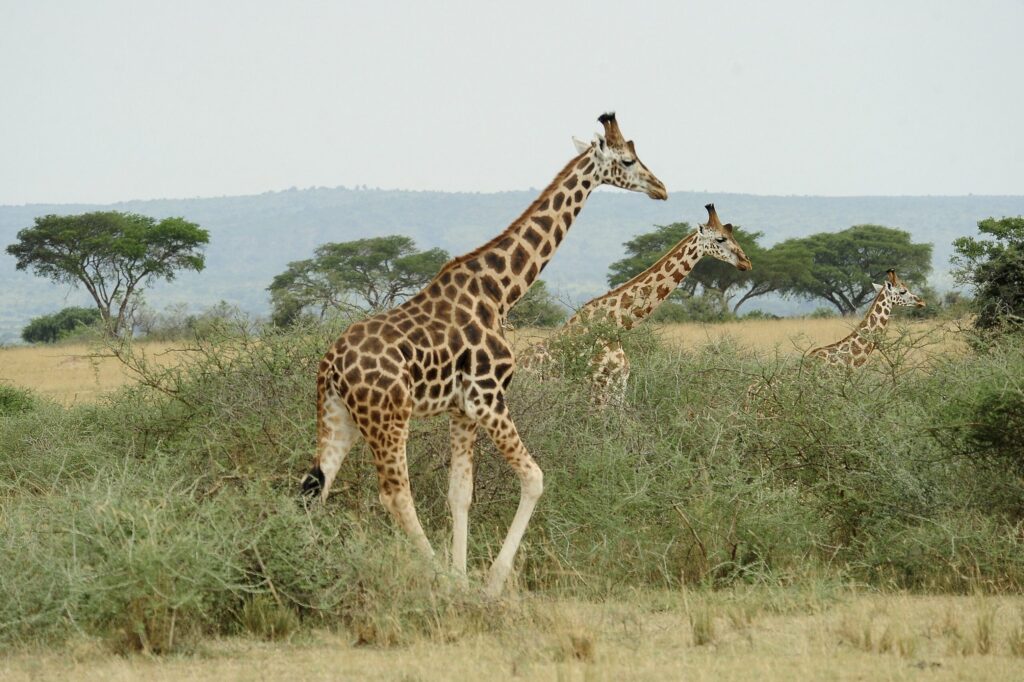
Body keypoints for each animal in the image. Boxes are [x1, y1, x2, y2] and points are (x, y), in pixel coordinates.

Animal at [301, 113, 667, 597]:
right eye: (627, 160)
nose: (661, 188)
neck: (501, 290)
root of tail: (331, 366)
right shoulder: (488, 396)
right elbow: (534, 478)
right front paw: (488, 581)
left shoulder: (462, 408)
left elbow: (460, 492)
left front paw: (463, 574)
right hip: (389, 417)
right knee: (394, 493)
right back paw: (433, 577)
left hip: (338, 417)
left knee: (315, 485)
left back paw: (311, 576)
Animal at [521, 203, 751, 406]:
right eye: (720, 238)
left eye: (733, 236)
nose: (746, 262)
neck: (618, 324)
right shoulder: (598, 386)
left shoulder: (619, 386)